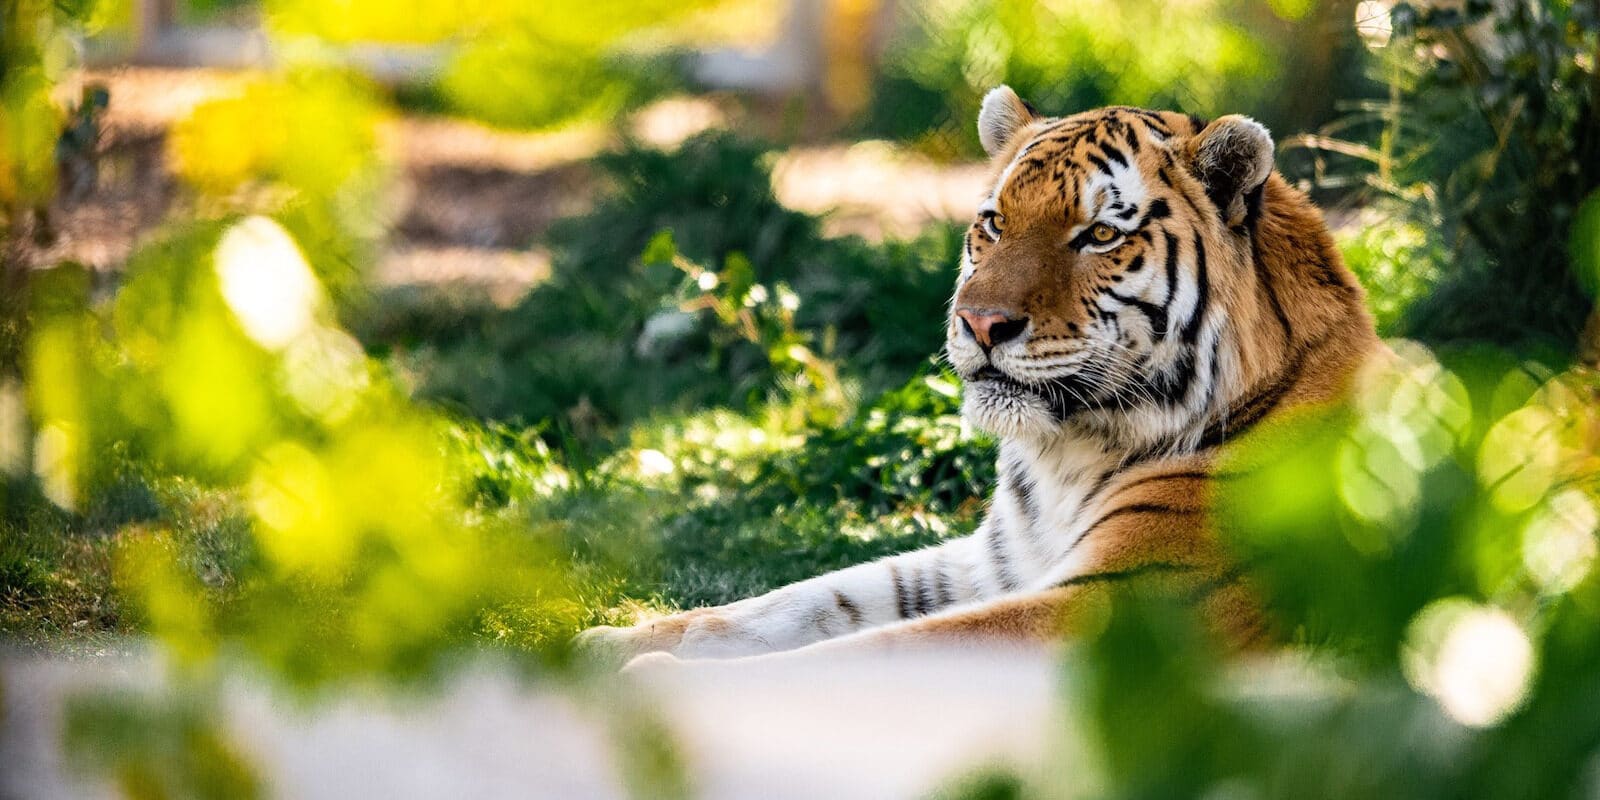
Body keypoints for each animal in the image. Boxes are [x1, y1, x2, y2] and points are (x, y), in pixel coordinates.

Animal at [582, 86, 1382, 668]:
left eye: (1100, 234)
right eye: (994, 223)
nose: (979, 322)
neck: (1068, 456)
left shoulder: (1120, 602)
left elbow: (862, 656)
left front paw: (658, 676)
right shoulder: (987, 566)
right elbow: (804, 601)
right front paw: (607, 643)